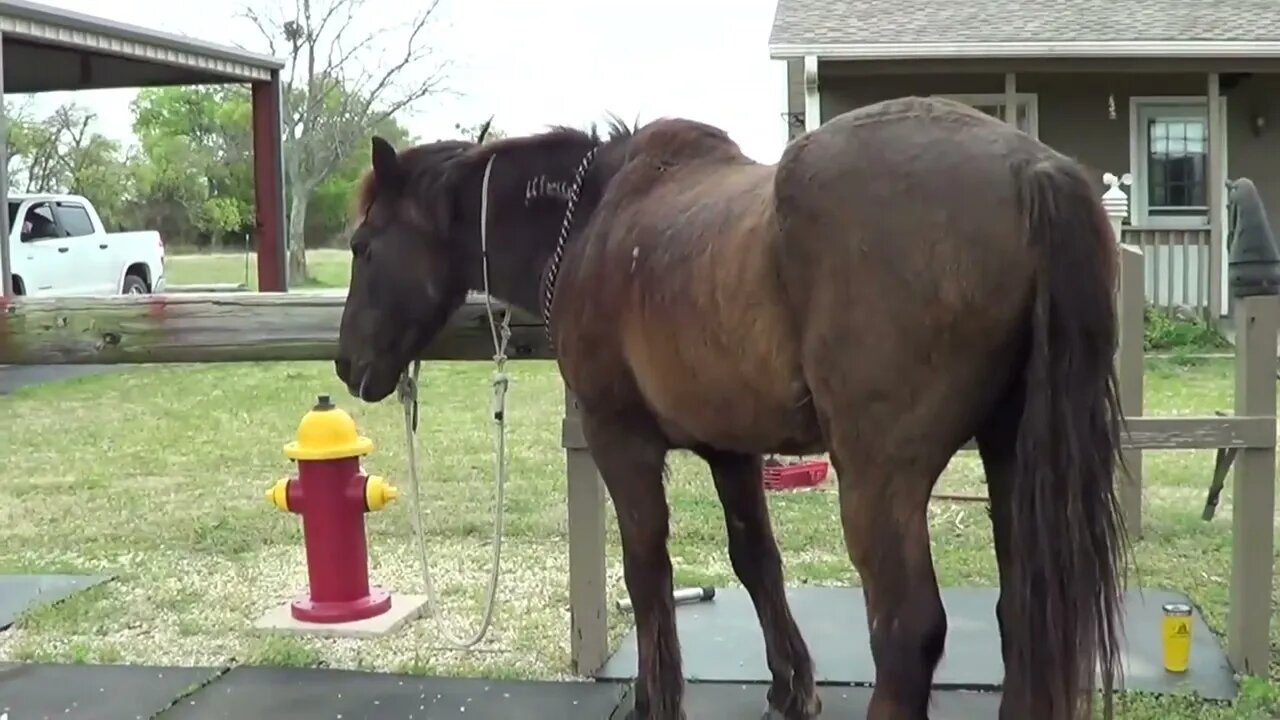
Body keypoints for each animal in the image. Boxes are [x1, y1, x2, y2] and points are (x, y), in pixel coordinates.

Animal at [335, 96, 1126, 717]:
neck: (592, 220)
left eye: (364, 245)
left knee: (908, 631)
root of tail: (1030, 173)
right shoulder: (731, 448)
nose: (346, 364)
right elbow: (756, 560)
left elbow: (646, 567)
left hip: (879, 477)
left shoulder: (620, 438)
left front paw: (657, 697)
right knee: (1024, 610)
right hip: (1012, 453)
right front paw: (790, 684)